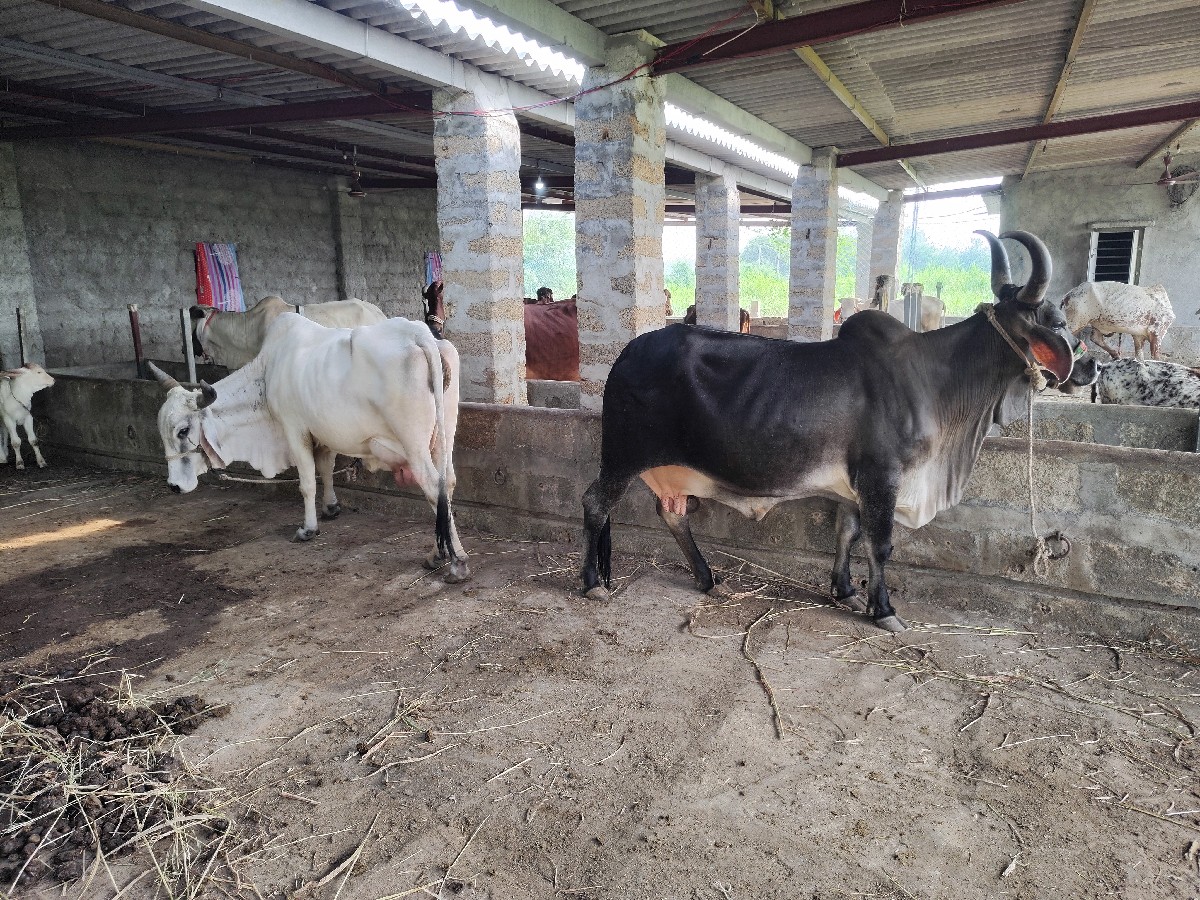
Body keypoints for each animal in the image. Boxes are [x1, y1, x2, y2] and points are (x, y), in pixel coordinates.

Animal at [151, 314, 469, 583]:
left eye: (183, 430)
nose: (174, 486)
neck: (266, 372)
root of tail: (418, 333)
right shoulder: (323, 434)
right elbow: (326, 470)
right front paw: (331, 507)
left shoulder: (295, 430)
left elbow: (306, 484)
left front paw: (308, 529)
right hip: (445, 433)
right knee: (449, 483)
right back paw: (439, 553)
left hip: (413, 443)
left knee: (434, 486)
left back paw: (456, 562)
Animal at [580, 231, 1084, 632]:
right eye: (1057, 322)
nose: (1090, 368)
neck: (934, 381)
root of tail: (625, 354)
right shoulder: (883, 476)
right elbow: (881, 545)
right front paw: (884, 609)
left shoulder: (853, 486)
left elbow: (847, 534)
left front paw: (845, 591)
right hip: (622, 456)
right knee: (595, 504)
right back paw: (592, 583)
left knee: (673, 514)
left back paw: (707, 579)